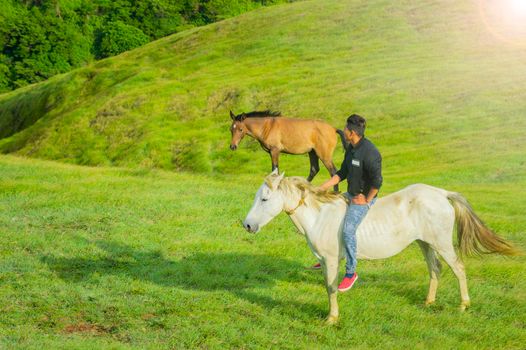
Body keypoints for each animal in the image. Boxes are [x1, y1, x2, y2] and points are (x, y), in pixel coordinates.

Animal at [243, 169, 520, 322]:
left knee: (458, 268)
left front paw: (331, 318)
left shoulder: (332, 261)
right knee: (435, 269)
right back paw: (428, 302)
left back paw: (463, 304)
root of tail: (441, 193)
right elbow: (326, 287)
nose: (247, 225)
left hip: (441, 243)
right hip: (424, 243)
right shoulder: (324, 261)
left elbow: (332, 288)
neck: (320, 216)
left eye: (264, 199)